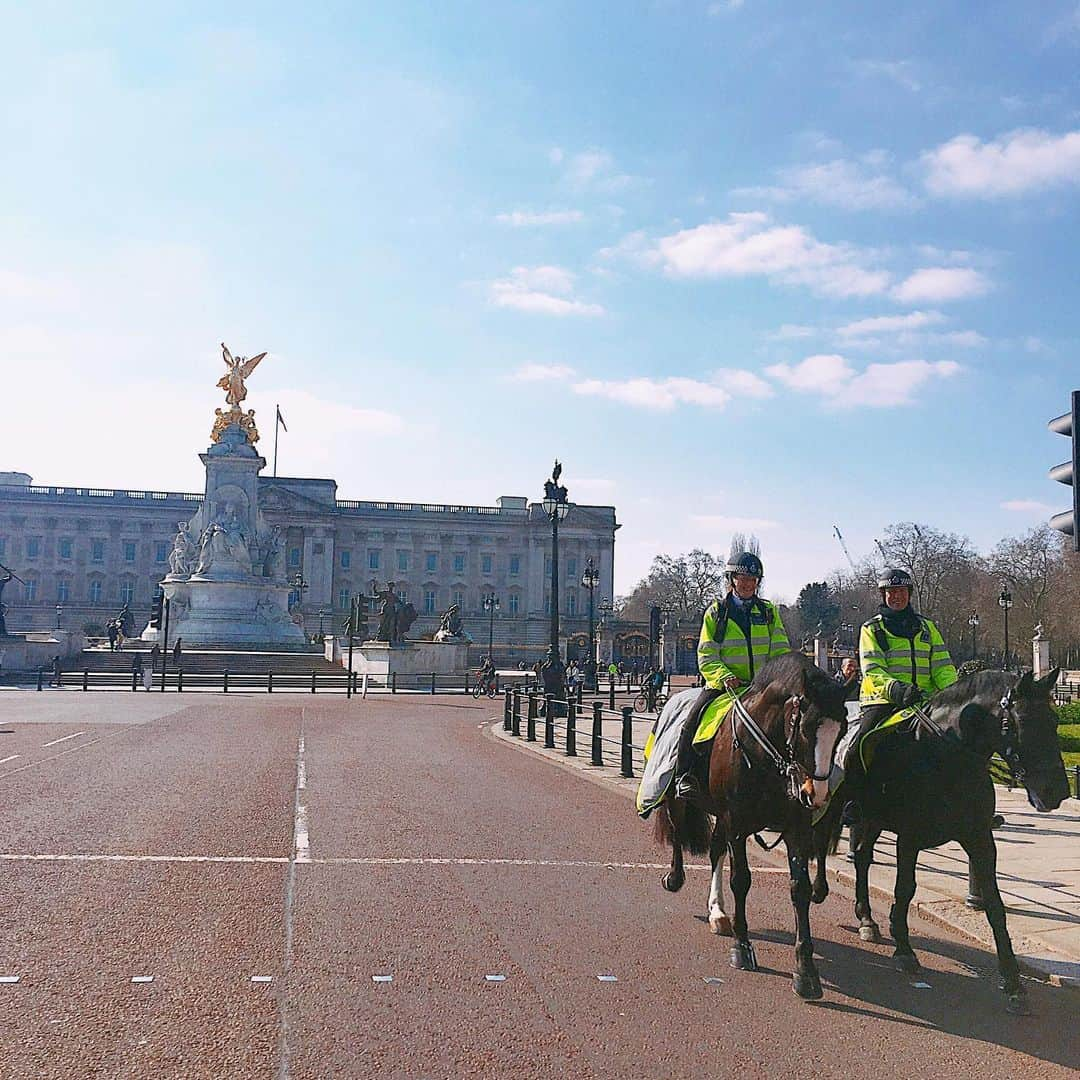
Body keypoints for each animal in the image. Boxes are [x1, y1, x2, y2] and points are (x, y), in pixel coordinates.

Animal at [652, 643, 846, 997]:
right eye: (805, 728)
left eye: (841, 730)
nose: (815, 794)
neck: (767, 755)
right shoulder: (737, 823)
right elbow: (741, 880)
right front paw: (743, 948)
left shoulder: (795, 827)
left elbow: (799, 888)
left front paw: (805, 970)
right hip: (681, 797)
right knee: (676, 829)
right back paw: (675, 877)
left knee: (715, 851)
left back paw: (718, 912)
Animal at [812, 665, 1067, 1010]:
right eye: (1024, 721)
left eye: (1054, 721)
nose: (1058, 791)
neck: (947, 757)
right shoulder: (909, 837)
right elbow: (905, 889)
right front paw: (904, 949)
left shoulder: (980, 838)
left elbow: (994, 904)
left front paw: (1012, 980)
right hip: (832, 804)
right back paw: (820, 890)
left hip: (873, 818)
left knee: (862, 857)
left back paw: (866, 918)